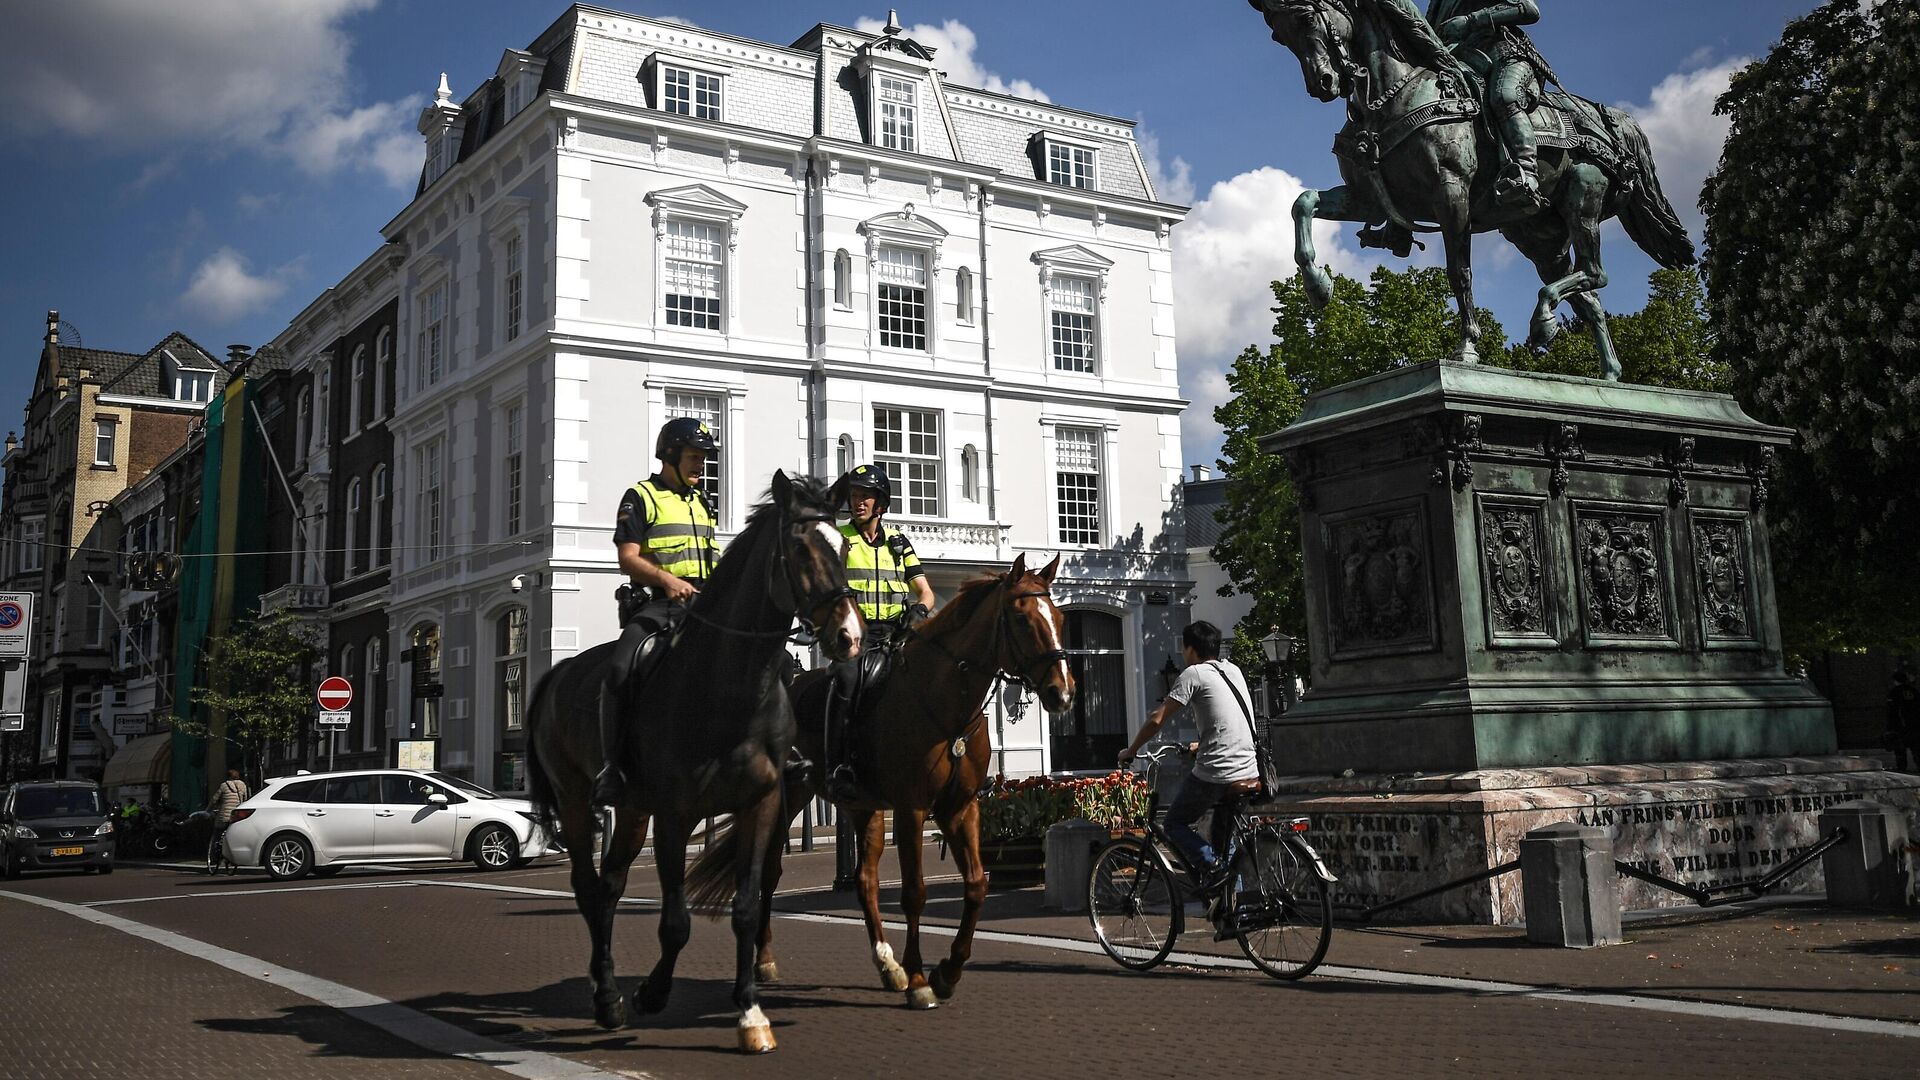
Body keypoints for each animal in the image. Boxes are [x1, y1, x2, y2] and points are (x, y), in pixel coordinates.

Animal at [691, 549, 1082, 1006]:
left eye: (1059, 617)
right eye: (1021, 618)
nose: (1063, 693)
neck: (943, 703)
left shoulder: (960, 808)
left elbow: (976, 885)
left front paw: (947, 970)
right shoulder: (913, 809)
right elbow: (914, 892)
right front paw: (920, 979)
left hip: (865, 809)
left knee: (865, 881)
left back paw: (886, 965)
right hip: (788, 798)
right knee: (769, 873)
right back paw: (766, 961)